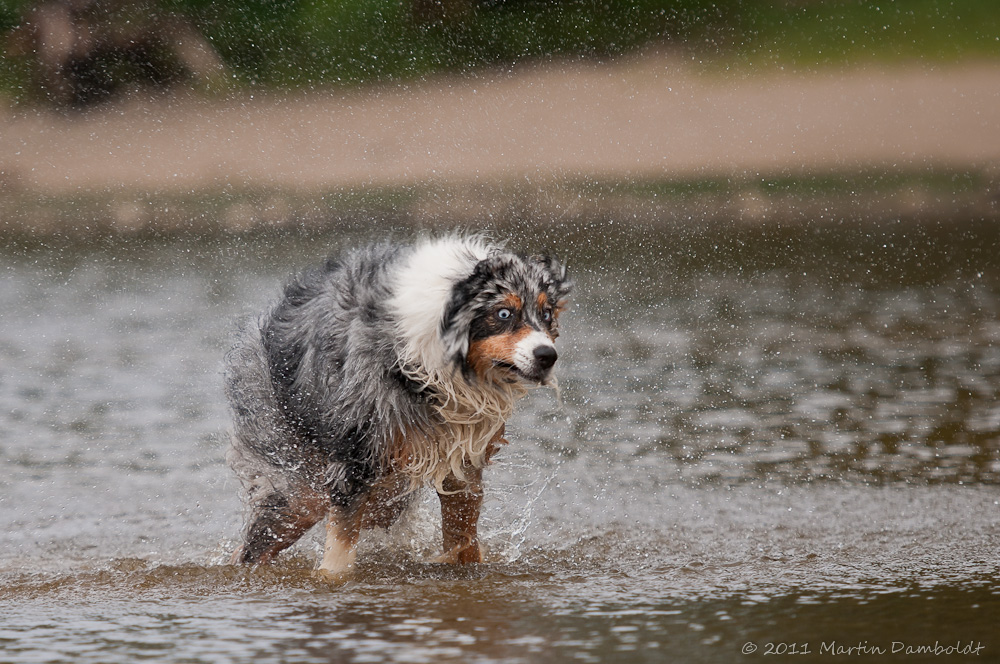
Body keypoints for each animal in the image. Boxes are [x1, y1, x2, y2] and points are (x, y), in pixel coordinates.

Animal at [227, 235, 572, 576]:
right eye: (503, 314)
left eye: (545, 314)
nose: (547, 356)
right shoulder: (353, 463)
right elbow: (339, 553)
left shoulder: (463, 460)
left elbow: (464, 539)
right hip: (297, 493)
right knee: (251, 548)